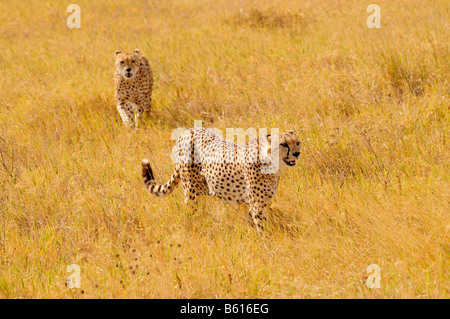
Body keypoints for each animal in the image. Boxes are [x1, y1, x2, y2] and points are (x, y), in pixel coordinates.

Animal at [142, 128, 300, 232]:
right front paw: (268, 246)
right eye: (284, 144)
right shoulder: (257, 205)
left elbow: (251, 220)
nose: (297, 153)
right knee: (190, 211)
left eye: (297, 142)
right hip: (190, 190)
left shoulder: (261, 202)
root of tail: (188, 131)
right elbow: (263, 228)